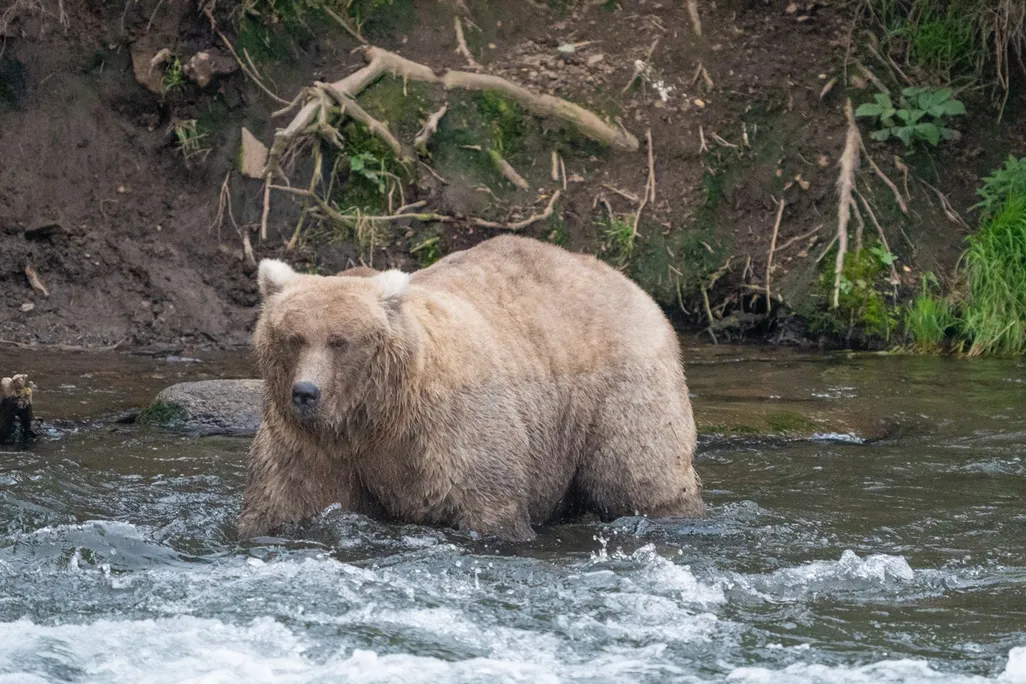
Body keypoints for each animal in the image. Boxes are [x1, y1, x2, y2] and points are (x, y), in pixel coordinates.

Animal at [236, 234, 706, 541]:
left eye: (339, 341)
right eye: (293, 337)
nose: (306, 392)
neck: (374, 417)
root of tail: (628, 282)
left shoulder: (449, 431)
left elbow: (487, 503)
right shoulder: (311, 446)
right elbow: (284, 500)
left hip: (620, 389)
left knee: (640, 474)